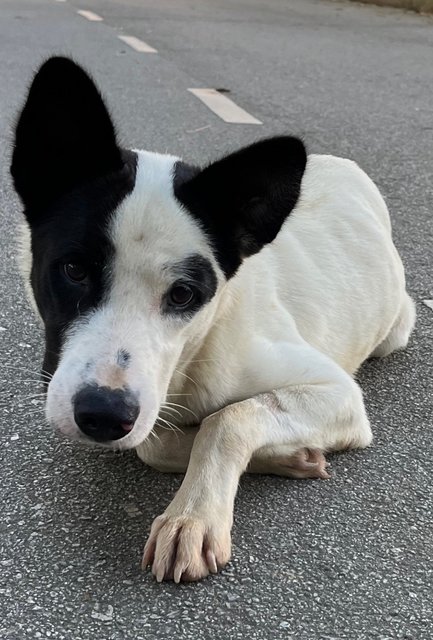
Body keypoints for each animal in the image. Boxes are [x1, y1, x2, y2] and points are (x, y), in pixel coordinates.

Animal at [11, 57, 416, 584]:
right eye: (75, 269)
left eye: (184, 294)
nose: (103, 414)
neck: (196, 354)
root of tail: (340, 163)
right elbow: (154, 441)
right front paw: (285, 455)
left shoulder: (339, 393)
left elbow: (225, 419)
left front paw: (193, 515)